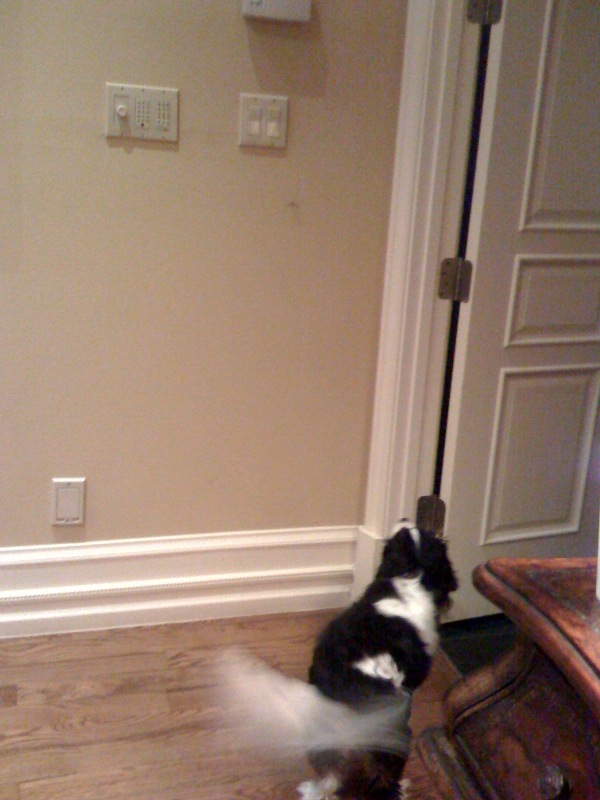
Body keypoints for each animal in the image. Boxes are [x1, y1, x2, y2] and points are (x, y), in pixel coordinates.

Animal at [222, 521, 458, 800]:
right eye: (409, 532)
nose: (403, 519)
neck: (410, 574)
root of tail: (351, 692)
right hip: (393, 736)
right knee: (384, 780)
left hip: (325, 736)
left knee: (329, 775)